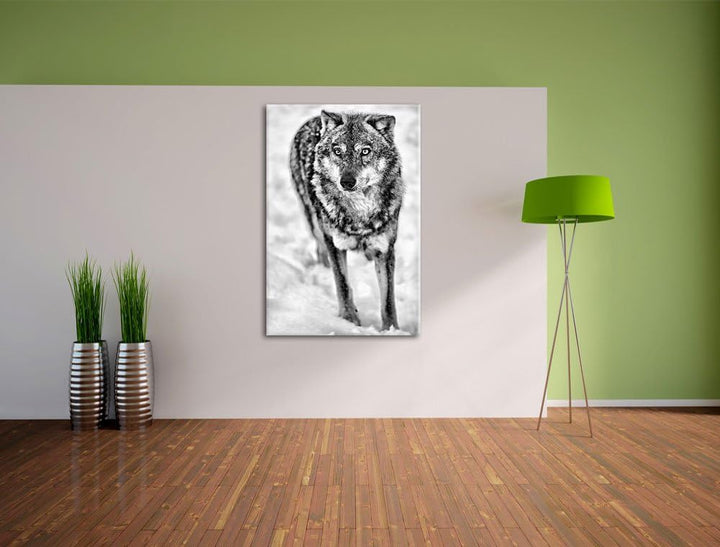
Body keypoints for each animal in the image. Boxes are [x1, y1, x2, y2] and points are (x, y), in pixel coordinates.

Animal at [290, 110, 404, 331]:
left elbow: (388, 301)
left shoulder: (385, 249)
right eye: (337, 151)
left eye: (365, 151)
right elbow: (342, 285)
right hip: (315, 225)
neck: (359, 212)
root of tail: (314, 118)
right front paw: (349, 322)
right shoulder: (335, 245)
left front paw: (391, 330)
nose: (347, 182)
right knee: (320, 250)